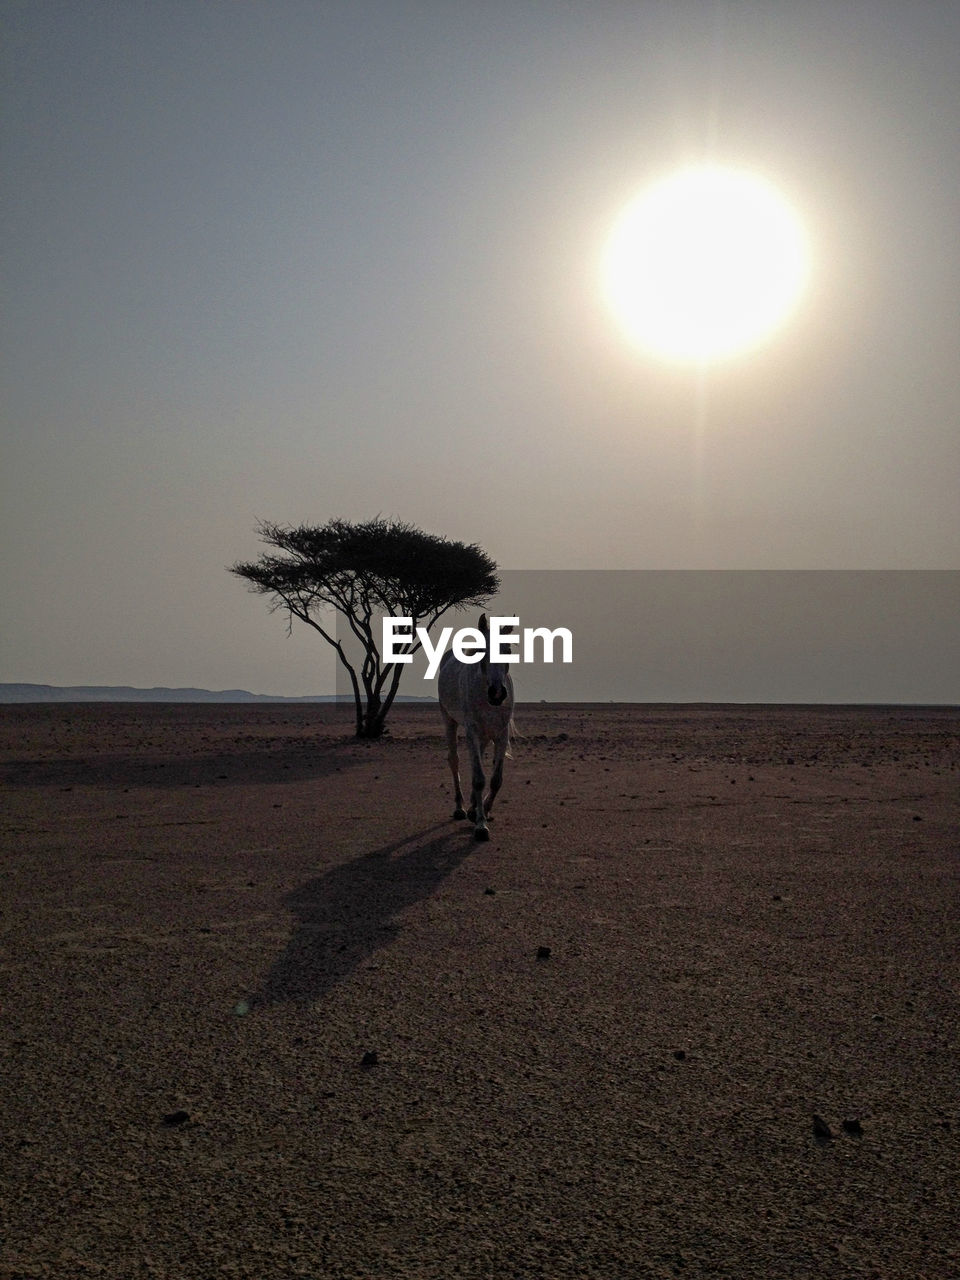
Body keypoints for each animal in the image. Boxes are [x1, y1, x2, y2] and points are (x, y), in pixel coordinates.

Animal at [440, 616, 519, 844]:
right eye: (482, 649)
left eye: (508, 649)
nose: (497, 693)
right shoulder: (472, 732)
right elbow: (479, 779)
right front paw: (480, 826)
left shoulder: (501, 734)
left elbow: (495, 780)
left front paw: (483, 810)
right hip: (449, 720)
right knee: (454, 760)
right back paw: (460, 808)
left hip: (485, 735)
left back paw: (473, 807)